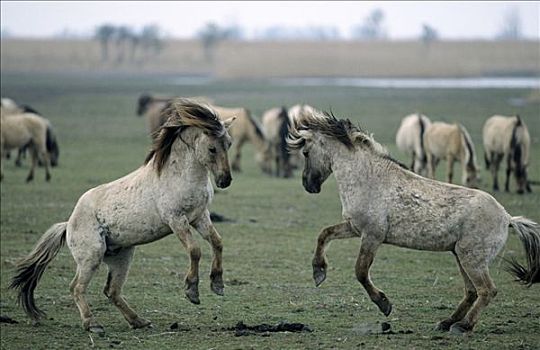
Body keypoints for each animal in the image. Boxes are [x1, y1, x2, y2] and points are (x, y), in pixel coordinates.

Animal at [10, 99, 234, 334]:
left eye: (229, 144)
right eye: (212, 148)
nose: (225, 180)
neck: (179, 175)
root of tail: (69, 224)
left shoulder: (199, 217)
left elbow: (217, 243)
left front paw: (217, 284)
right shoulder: (176, 220)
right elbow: (195, 250)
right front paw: (192, 290)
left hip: (122, 258)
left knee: (112, 291)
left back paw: (138, 321)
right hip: (91, 257)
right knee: (77, 288)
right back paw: (93, 324)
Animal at [286, 109, 540, 334]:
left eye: (306, 152)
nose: (309, 185)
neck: (368, 178)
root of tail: (507, 218)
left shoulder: (372, 236)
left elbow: (360, 271)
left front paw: (384, 304)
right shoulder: (355, 227)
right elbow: (324, 234)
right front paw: (319, 272)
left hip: (473, 259)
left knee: (487, 291)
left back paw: (463, 326)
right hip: (461, 256)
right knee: (471, 292)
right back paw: (446, 322)